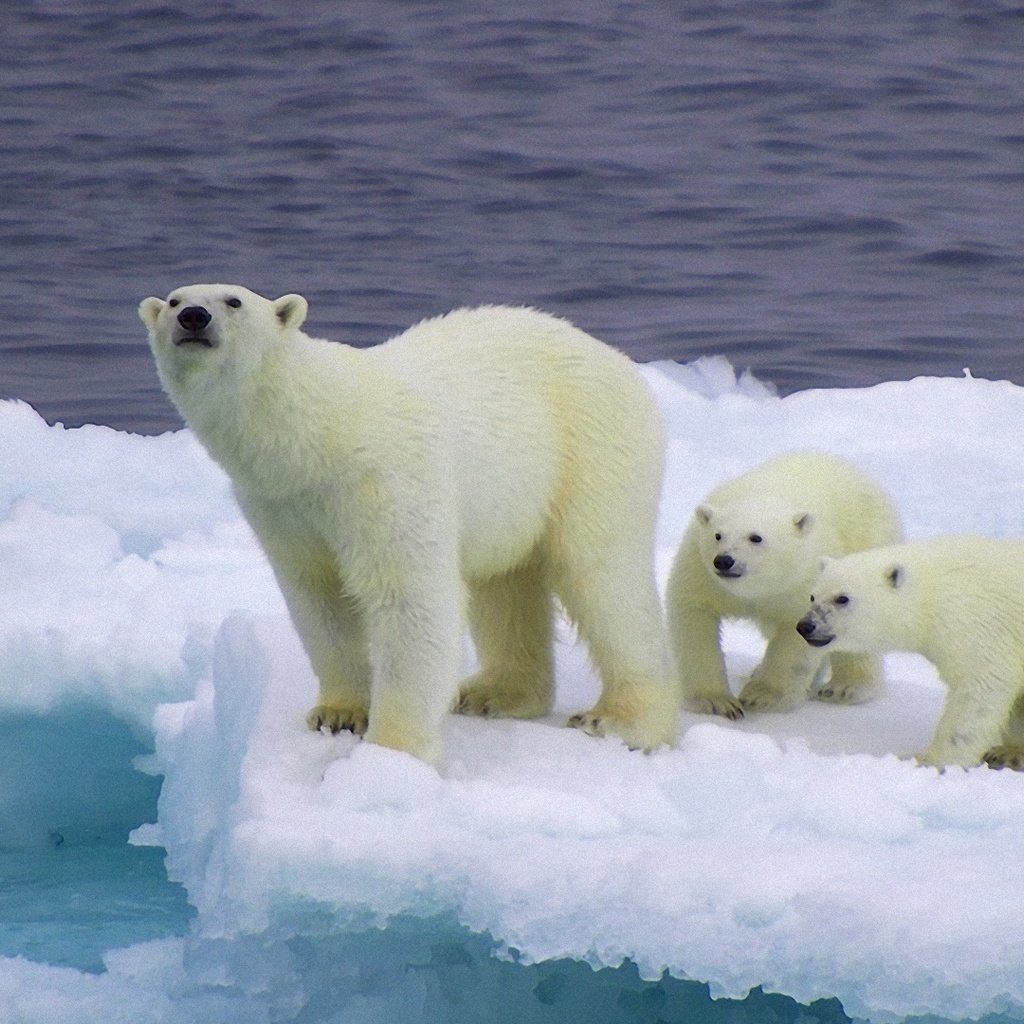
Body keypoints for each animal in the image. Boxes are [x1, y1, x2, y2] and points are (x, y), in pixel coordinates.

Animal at [138, 284, 679, 765]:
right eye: (174, 299)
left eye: (233, 300)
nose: (193, 318)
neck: (320, 433)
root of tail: (617, 360)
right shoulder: (280, 505)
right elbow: (318, 597)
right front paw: (337, 713)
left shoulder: (385, 478)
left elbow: (408, 598)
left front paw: (391, 750)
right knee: (504, 584)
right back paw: (494, 693)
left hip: (590, 446)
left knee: (601, 575)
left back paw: (621, 721)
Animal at [663, 452, 897, 716]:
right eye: (718, 535)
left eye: (756, 537)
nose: (724, 561)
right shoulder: (701, 571)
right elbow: (694, 618)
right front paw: (716, 702)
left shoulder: (804, 577)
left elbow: (797, 637)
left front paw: (760, 696)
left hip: (867, 544)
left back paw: (845, 688)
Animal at [798, 536, 1024, 770]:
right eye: (813, 596)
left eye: (842, 598)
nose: (805, 626)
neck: (935, 588)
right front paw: (1007, 752)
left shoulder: (979, 625)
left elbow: (979, 688)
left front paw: (929, 760)